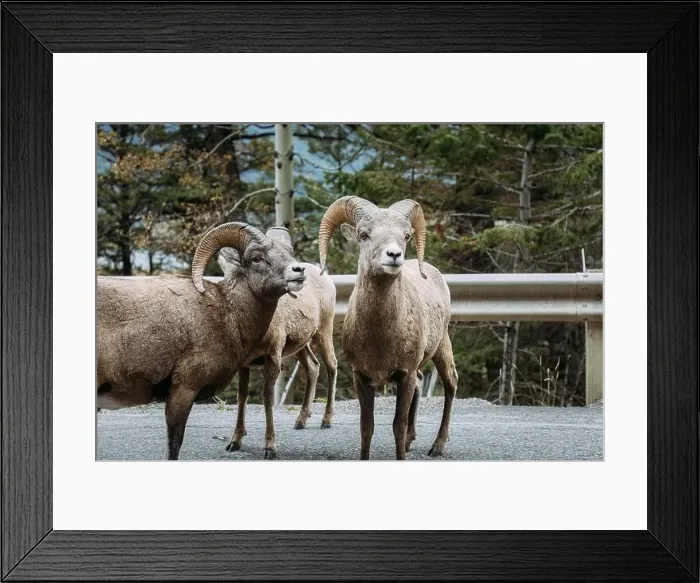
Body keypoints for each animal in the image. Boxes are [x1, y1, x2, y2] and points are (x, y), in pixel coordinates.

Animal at [97, 222, 307, 460]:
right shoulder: (184, 390)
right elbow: (173, 447)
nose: (298, 271)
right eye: (256, 258)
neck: (226, 312)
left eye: (289, 252)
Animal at [216, 241, 337, 459]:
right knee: (313, 367)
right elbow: (242, 397)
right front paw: (235, 442)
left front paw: (270, 448)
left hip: (323, 331)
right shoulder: (245, 365)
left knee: (331, 366)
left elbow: (268, 398)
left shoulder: (273, 357)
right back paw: (300, 421)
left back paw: (326, 421)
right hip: (300, 345)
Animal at [318, 196, 458, 460]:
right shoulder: (361, 377)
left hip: (442, 347)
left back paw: (437, 446)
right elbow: (366, 427)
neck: (380, 336)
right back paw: (412, 441)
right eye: (363, 234)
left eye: (406, 236)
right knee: (422, 384)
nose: (393, 255)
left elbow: (397, 426)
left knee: (451, 384)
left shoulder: (405, 375)